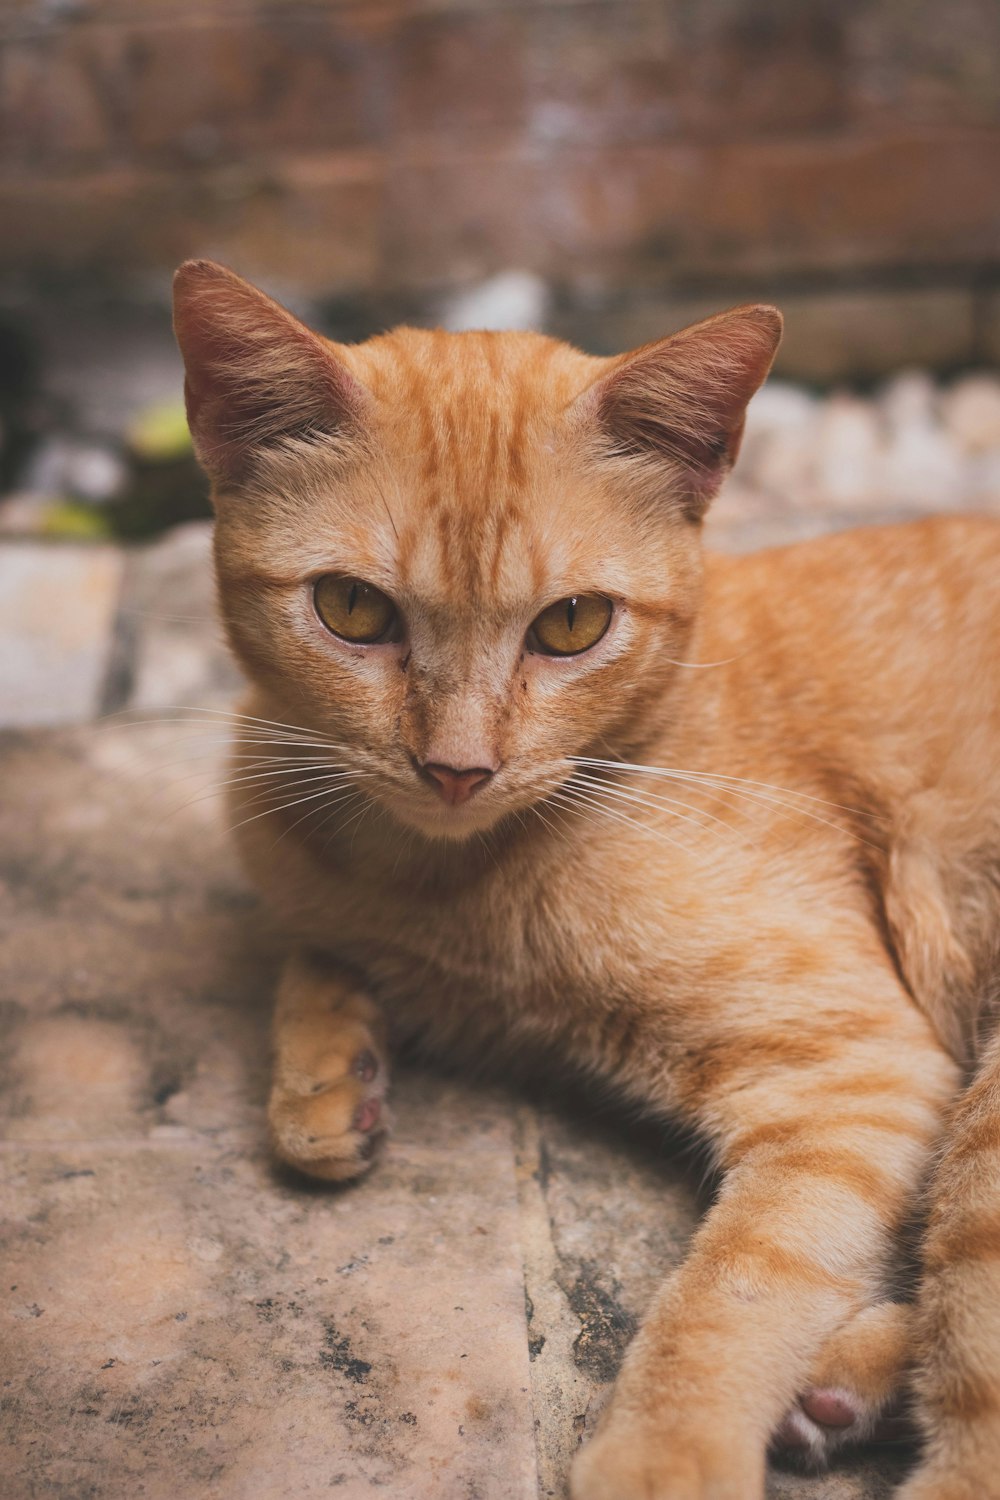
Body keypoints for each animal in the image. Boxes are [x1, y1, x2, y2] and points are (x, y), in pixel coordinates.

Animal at [172, 261, 1000, 1500]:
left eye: (571, 624)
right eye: (352, 609)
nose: (456, 768)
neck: (436, 884)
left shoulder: (860, 1061)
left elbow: (736, 1286)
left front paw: (663, 1455)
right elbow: (309, 953)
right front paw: (327, 1076)